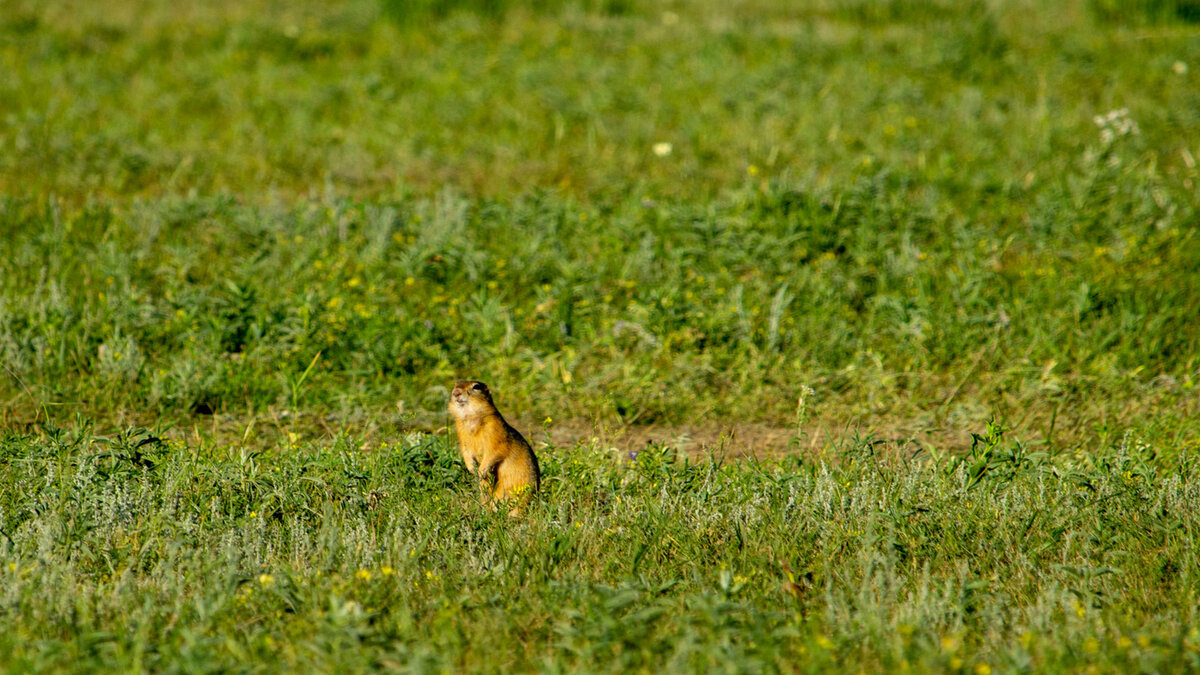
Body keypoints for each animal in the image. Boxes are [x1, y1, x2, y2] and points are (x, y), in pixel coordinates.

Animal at [448, 379, 542, 509]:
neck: (470, 417)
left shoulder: (495, 430)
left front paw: (481, 471)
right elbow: (466, 451)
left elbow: (495, 451)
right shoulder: (461, 434)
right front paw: (472, 469)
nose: (456, 392)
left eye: (476, 386)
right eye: (455, 384)